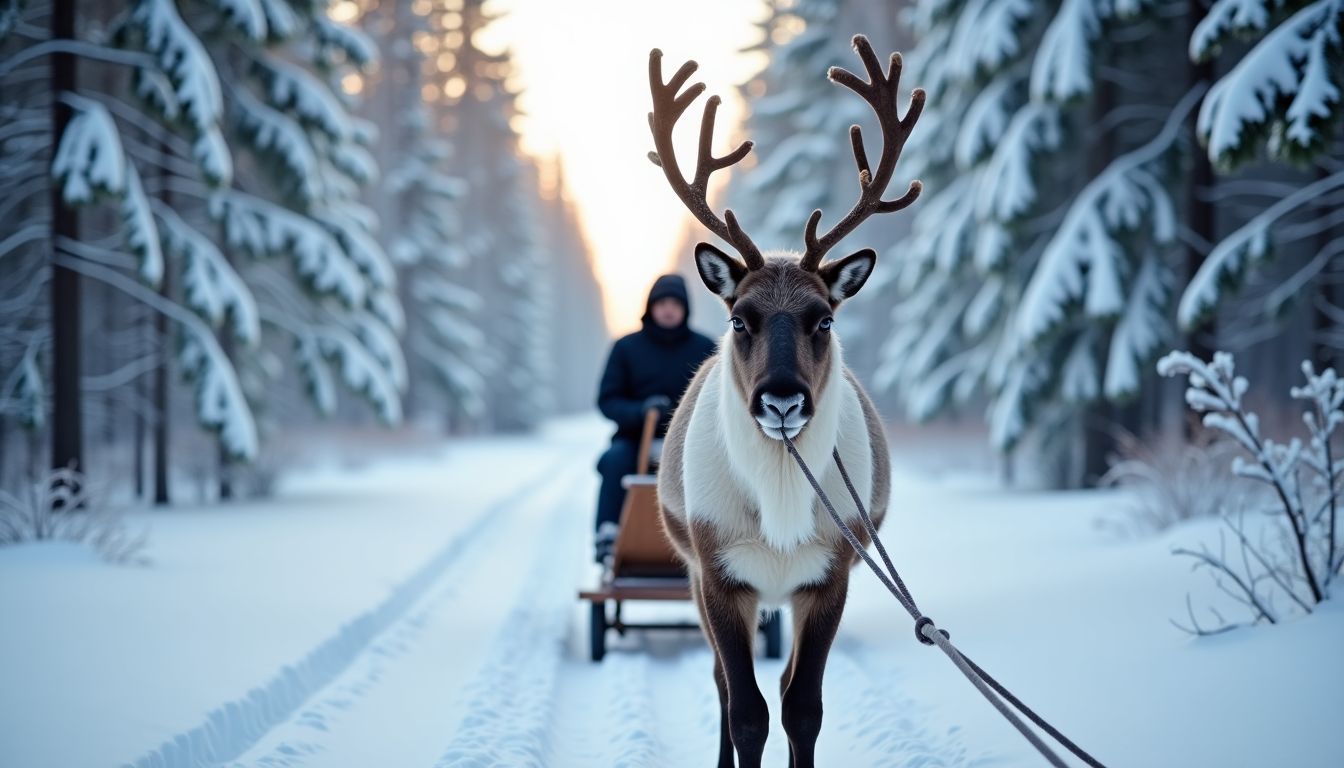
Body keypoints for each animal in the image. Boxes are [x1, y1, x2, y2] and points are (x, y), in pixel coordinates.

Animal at [648, 36, 924, 768]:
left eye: (823, 318)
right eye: (738, 318)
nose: (781, 400)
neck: (778, 501)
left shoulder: (831, 574)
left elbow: (802, 707)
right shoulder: (718, 577)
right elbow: (745, 711)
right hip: (699, 576)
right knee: (722, 684)